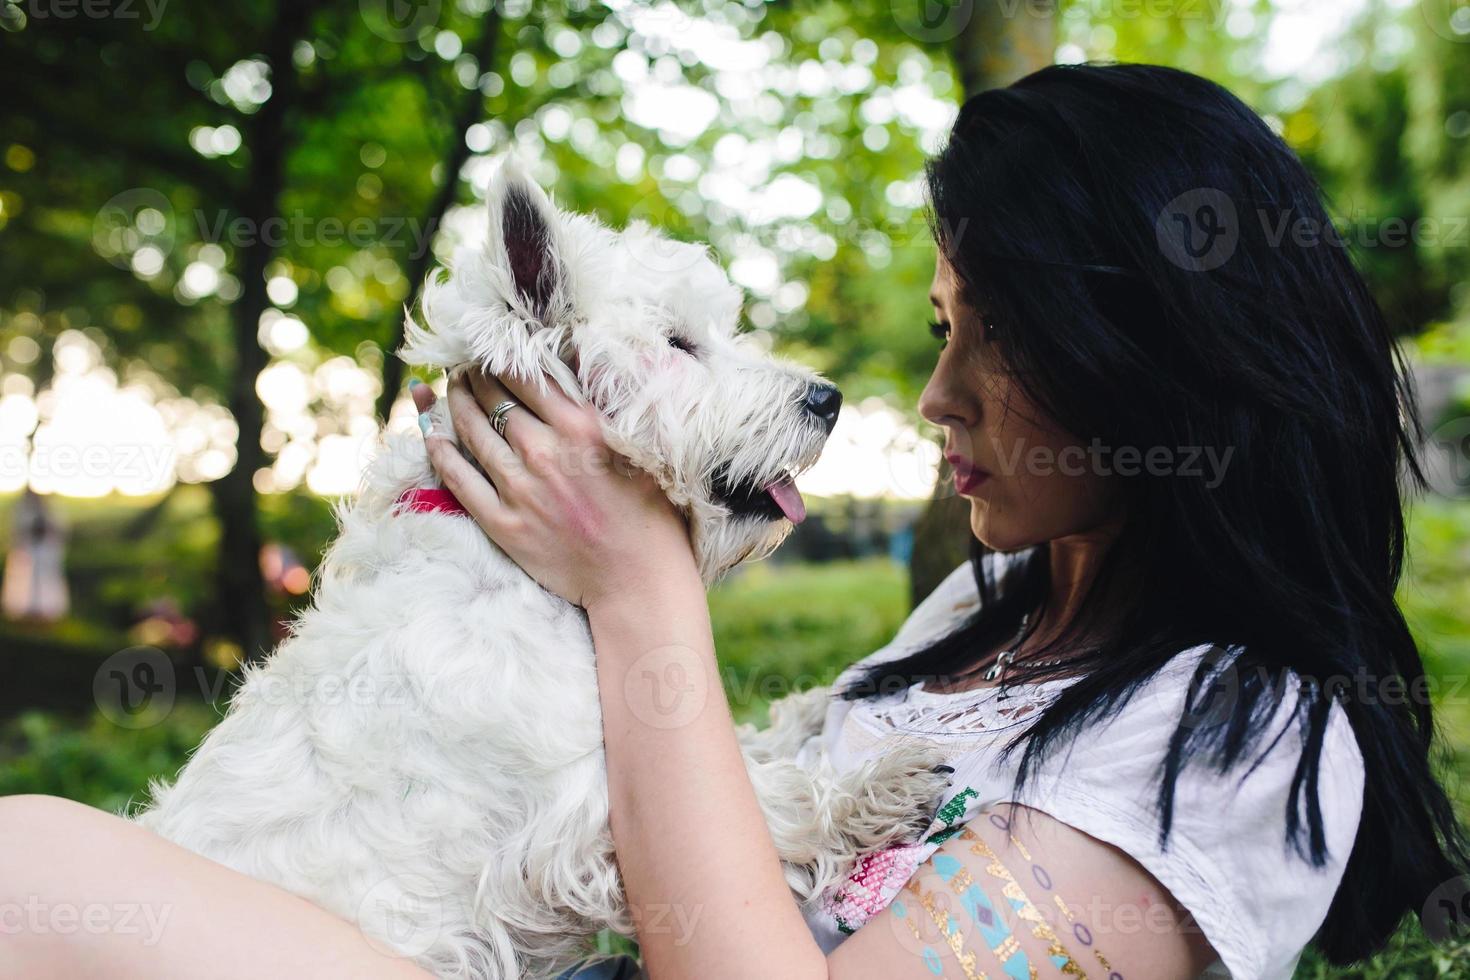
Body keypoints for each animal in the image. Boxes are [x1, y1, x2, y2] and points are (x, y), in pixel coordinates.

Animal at [132, 157, 946, 975]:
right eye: (679, 343)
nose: (829, 398)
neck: (513, 568)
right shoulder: (582, 816)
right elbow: (765, 800)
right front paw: (880, 786)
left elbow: (740, 743)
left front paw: (808, 711)